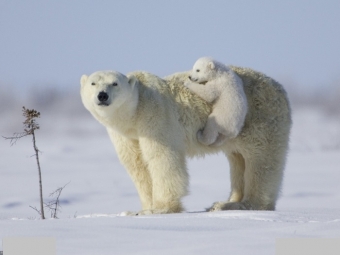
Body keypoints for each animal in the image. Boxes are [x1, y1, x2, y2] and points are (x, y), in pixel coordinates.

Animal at [80, 66, 292, 215]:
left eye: (114, 83)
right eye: (93, 83)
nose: (102, 95)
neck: (135, 113)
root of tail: (281, 88)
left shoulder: (155, 116)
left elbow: (162, 159)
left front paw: (160, 208)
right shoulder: (125, 134)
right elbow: (137, 165)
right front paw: (142, 208)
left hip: (260, 118)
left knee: (260, 161)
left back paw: (246, 204)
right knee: (238, 159)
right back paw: (226, 202)